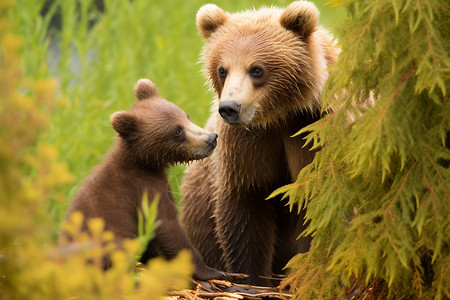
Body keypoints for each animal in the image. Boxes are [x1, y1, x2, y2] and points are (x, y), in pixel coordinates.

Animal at [61, 78, 244, 282]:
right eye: (177, 131)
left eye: (186, 116)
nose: (211, 138)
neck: (144, 164)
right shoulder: (143, 190)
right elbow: (167, 227)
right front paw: (218, 271)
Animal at [179, 1, 338, 284]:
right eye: (222, 69)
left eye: (256, 69)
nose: (230, 108)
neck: (280, 116)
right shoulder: (247, 143)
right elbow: (246, 207)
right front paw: (251, 278)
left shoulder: (315, 129)